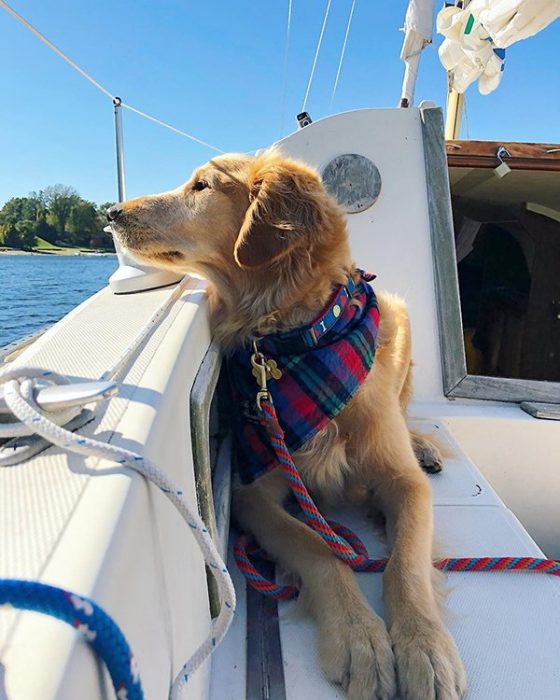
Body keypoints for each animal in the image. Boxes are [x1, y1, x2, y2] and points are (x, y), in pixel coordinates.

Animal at [108, 150, 464, 696]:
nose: (110, 212)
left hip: (399, 316)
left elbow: (405, 563)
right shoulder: (253, 492)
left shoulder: (405, 484)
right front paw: (359, 637)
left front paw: (425, 646)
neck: (294, 340)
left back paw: (422, 444)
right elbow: (317, 547)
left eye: (201, 186)